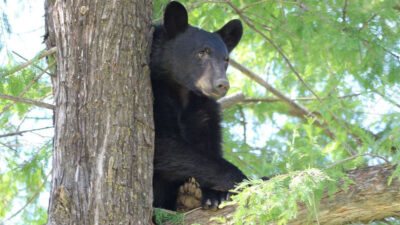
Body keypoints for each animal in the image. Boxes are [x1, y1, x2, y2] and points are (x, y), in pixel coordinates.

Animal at [150, 0, 245, 210]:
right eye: (202, 52)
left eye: (226, 59)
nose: (222, 84)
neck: (183, 91)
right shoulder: (156, 92)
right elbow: (163, 141)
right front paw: (242, 180)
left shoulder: (203, 109)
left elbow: (209, 143)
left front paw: (214, 194)